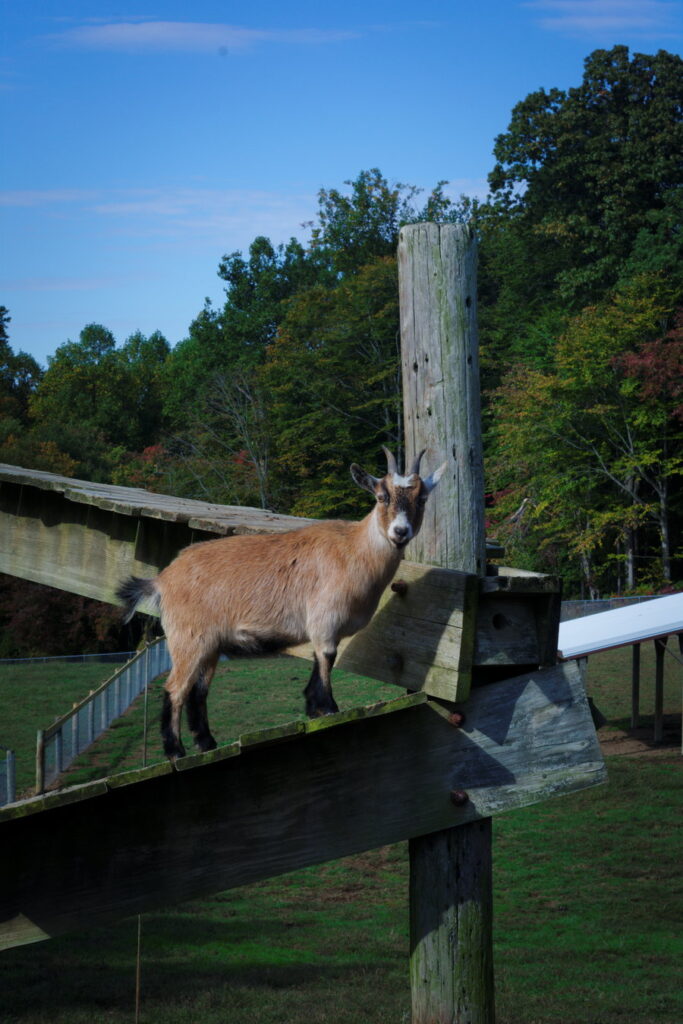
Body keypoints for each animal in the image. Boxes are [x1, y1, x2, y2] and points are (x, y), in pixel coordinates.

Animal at [116, 448, 448, 761]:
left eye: (422, 499)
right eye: (381, 496)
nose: (400, 532)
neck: (353, 550)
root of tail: (163, 579)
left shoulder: (323, 626)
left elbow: (320, 658)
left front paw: (313, 707)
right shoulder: (324, 618)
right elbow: (327, 657)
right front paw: (329, 708)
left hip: (210, 644)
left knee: (199, 691)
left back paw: (207, 743)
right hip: (188, 637)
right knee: (175, 688)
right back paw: (175, 750)